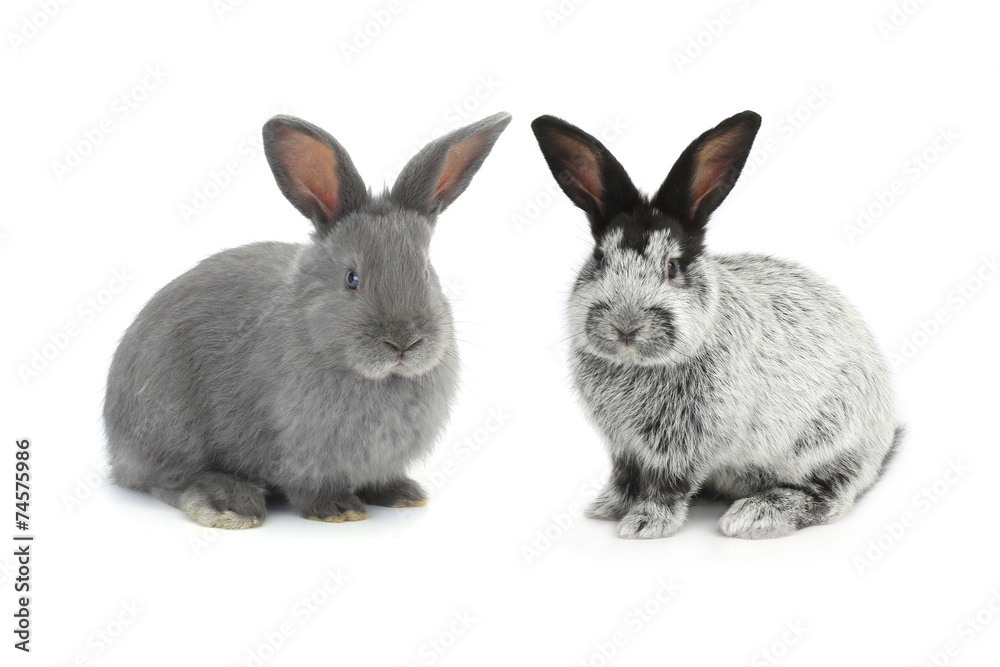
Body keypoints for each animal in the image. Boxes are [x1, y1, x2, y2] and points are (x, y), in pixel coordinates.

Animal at [104, 111, 512, 528]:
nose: (404, 342)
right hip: (170, 426)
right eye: (352, 279)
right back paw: (229, 503)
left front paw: (400, 494)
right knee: (168, 479)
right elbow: (308, 486)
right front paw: (339, 509)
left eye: (427, 273)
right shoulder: (298, 451)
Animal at [531, 110, 899, 539]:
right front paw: (607, 508)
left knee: (829, 495)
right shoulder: (624, 446)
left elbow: (668, 483)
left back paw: (754, 514)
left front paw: (644, 523)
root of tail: (880, 445)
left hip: (825, 443)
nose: (625, 327)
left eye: (673, 266)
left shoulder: (686, 441)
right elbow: (625, 477)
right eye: (600, 259)